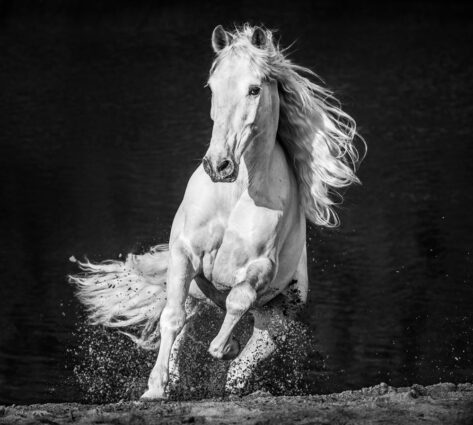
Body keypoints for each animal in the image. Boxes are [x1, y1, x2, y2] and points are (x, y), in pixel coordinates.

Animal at [69, 24, 358, 400]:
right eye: (213, 87)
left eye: (254, 89)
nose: (219, 165)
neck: (235, 194)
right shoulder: (185, 253)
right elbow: (172, 319)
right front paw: (155, 389)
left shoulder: (259, 269)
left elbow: (235, 307)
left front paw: (227, 346)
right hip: (194, 293)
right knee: (181, 324)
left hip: (277, 320)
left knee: (243, 361)